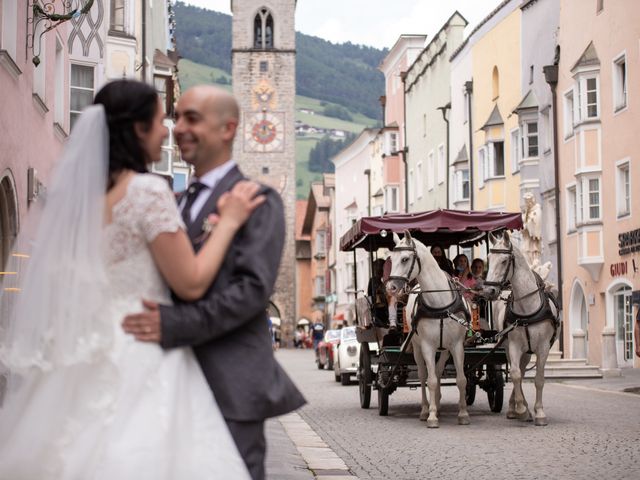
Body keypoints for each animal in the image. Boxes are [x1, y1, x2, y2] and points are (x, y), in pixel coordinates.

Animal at [384, 231, 470, 430]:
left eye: (405, 258)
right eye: (391, 259)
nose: (391, 288)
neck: (440, 303)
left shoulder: (456, 346)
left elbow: (461, 380)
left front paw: (463, 414)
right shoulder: (427, 346)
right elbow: (429, 381)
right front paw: (431, 416)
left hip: (444, 349)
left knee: (437, 372)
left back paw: (436, 403)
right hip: (417, 347)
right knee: (424, 375)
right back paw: (425, 409)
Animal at [482, 232, 556, 424]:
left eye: (504, 261)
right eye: (489, 259)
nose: (488, 291)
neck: (527, 309)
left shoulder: (543, 348)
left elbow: (539, 379)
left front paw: (539, 412)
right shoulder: (514, 345)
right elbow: (515, 374)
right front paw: (521, 409)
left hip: (528, 351)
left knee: (523, 372)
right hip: (509, 346)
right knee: (519, 373)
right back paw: (515, 408)